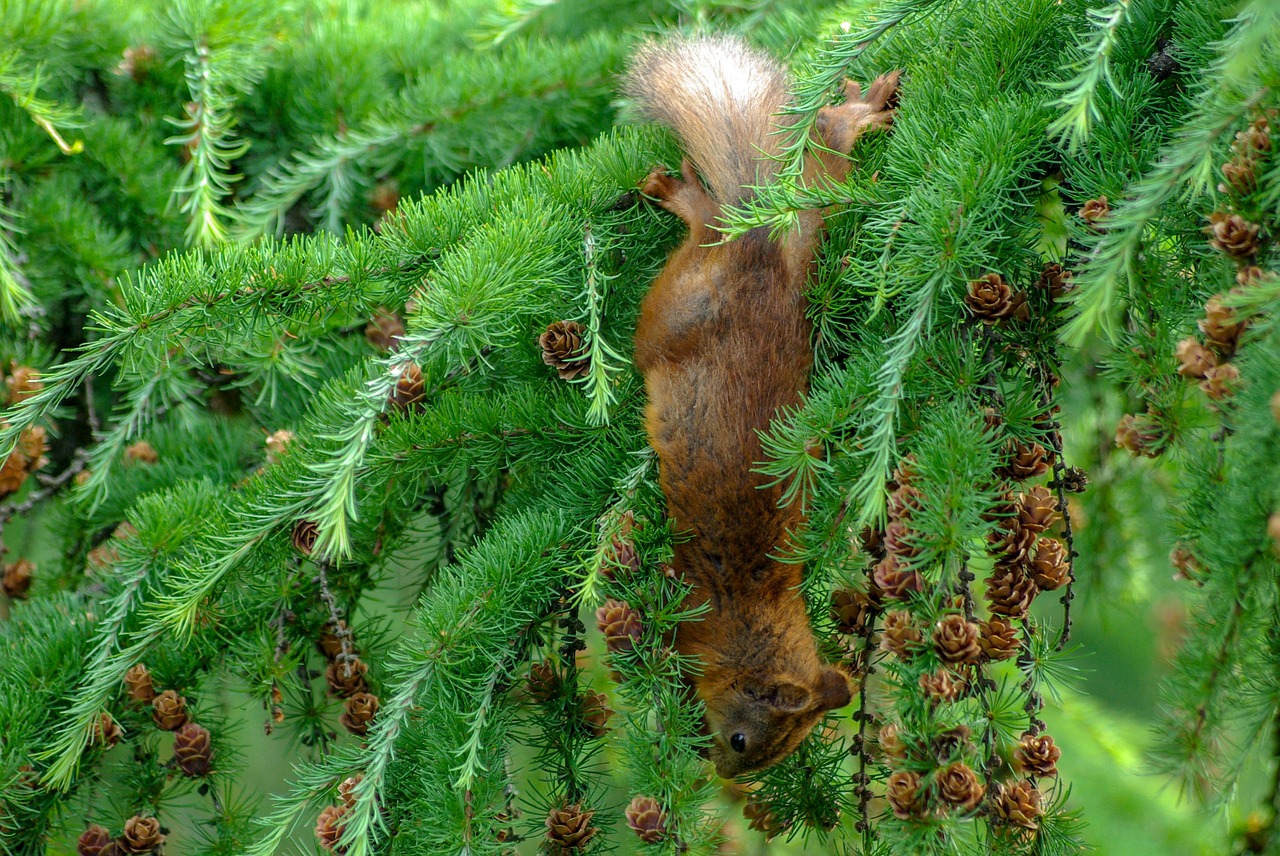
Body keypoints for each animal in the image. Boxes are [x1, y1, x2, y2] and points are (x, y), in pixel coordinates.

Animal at [624, 38, 896, 772]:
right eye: (746, 740)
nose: (723, 773)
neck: (754, 621)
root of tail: (762, 254)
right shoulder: (697, 616)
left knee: (823, 150)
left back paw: (858, 110)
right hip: (671, 309)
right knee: (714, 223)